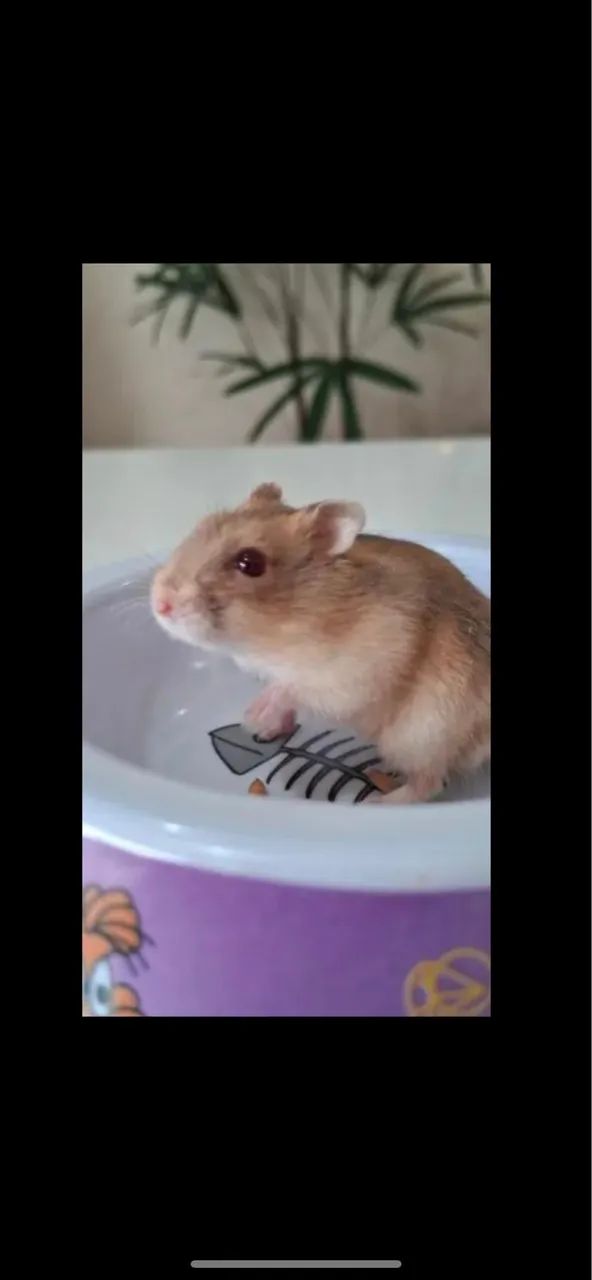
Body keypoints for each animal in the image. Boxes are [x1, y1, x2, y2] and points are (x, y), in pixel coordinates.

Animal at [151, 483, 490, 805]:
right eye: (200, 527)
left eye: (250, 562)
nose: (160, 603)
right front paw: (264, 728)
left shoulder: (352, 674)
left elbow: (287, 689)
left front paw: (252, 719)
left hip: (421, 736)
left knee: (428, 783)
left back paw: (376, 803)